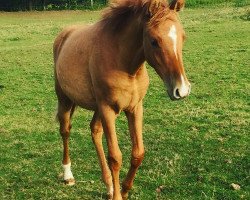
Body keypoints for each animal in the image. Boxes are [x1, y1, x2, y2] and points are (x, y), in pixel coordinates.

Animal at [52, 0, 189, 200]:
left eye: (183, 37)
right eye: (154, 41)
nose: (182, 90)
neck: (124, 64)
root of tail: (64, 35)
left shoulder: (135, 108)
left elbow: (138, 153)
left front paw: (123, 190)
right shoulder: (108, 109)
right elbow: (115, 157)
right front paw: (118, 195)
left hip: (97, 107)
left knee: (95, 131)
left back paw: (108, 185)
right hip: (65, 99)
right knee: (65, 130)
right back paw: (68, 175)